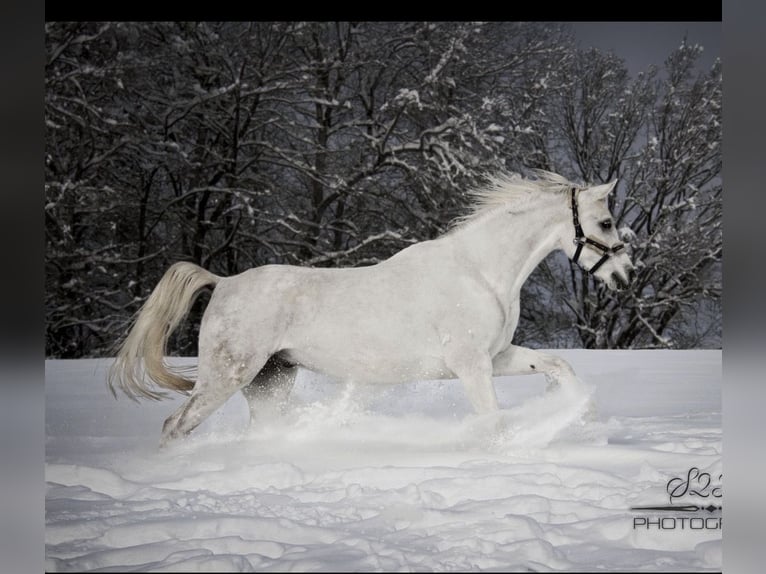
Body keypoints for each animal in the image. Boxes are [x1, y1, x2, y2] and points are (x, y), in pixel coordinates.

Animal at [108, 170, 636, 446]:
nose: (626, 275)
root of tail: (223, 283)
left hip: (270, 382)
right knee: (175, 426)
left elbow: (558, 366)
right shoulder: (471, 366)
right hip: (226, 377)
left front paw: (584, 418)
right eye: (606, 222)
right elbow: (492, 420)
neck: (479, 270)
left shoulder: (495, 358)